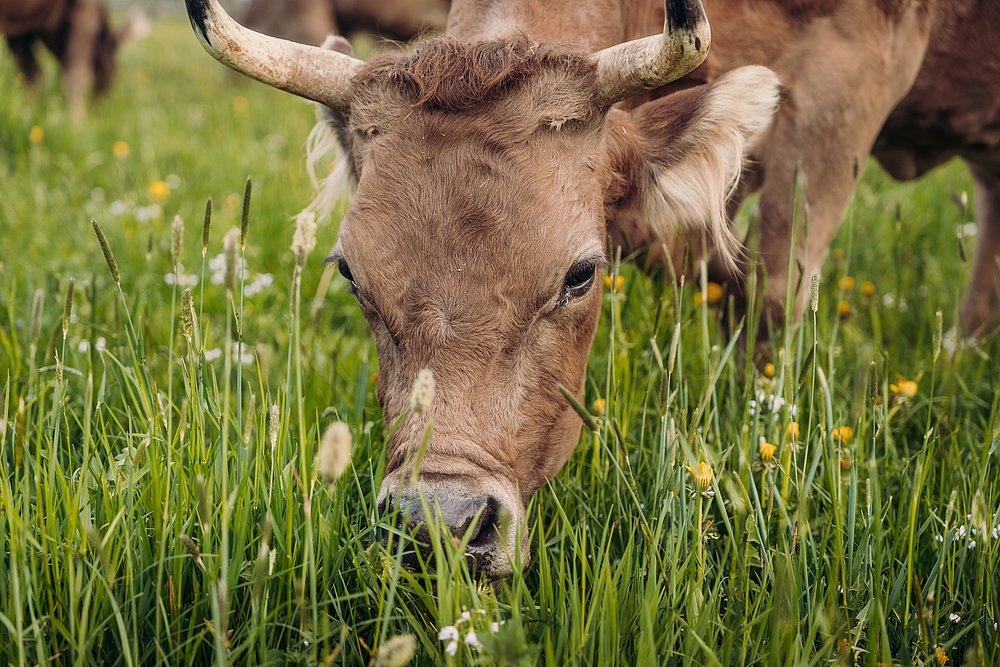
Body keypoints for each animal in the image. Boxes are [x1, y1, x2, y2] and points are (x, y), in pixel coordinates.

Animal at [0, 0, 142, 122]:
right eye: (115, 71)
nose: (98, 114)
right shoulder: (85, 11)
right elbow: (77, 76)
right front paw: (77, 123)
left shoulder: (20, 33)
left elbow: (30, 75)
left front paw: (30, 112)